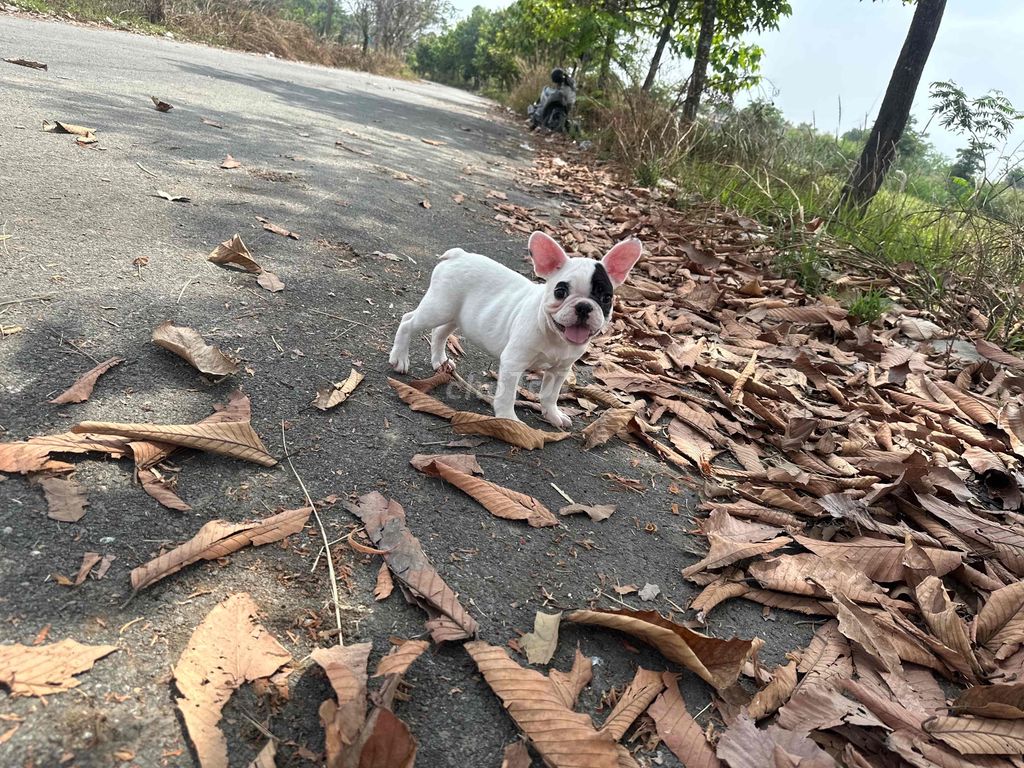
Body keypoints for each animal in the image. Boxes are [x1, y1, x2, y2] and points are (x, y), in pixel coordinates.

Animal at [389, 231, 638, 430]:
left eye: (606, 298)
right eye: (560, 292)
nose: (584, 306)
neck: (554, 335)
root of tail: (459, 255)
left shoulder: (560, 370)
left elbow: (550, 395)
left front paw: (553, 414)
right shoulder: (513, 362)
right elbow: (507, 395)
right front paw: (508, 419)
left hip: (456, 315)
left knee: (439, 332)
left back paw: (440, 361)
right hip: (438, 308)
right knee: (408, 321)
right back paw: (400, 358)